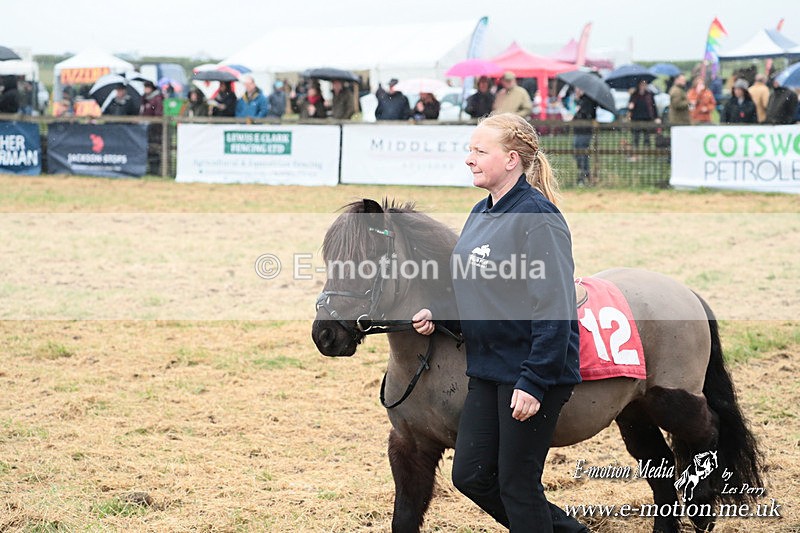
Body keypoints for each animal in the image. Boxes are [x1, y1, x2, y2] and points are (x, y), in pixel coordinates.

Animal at [311, 198, 763, 533]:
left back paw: (703, 508)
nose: (325, 334)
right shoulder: (410, 446)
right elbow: (406, 516)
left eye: (368, 260)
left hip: (674, 400)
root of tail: (685, 292)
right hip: (634, 412)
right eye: (331, 260)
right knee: (662, 472)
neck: (440, 350)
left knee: (708, 432)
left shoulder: (484, 455)